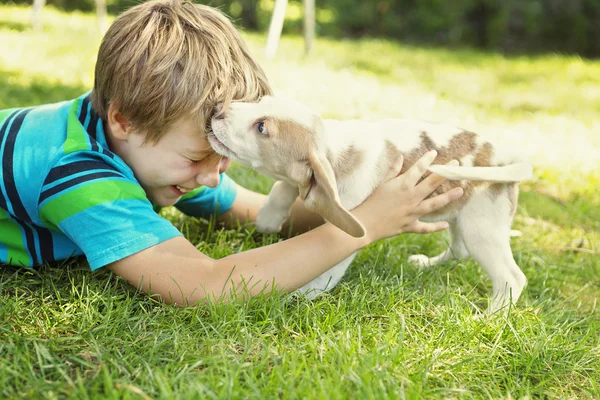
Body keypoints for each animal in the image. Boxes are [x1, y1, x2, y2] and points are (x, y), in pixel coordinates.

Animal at [209, 96, 532, 312]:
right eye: (259, 100)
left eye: (262, 128)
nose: (218, 109)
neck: (336, 149)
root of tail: (507, 159)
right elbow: (283, 185)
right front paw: (269, 217)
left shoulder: (344, 232)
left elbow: (325, 272)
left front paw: (299, 296)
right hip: (462, 218)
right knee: (459, 251)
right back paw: (427, 263)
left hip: (481, 227)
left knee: (511, 278)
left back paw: (491, 317)